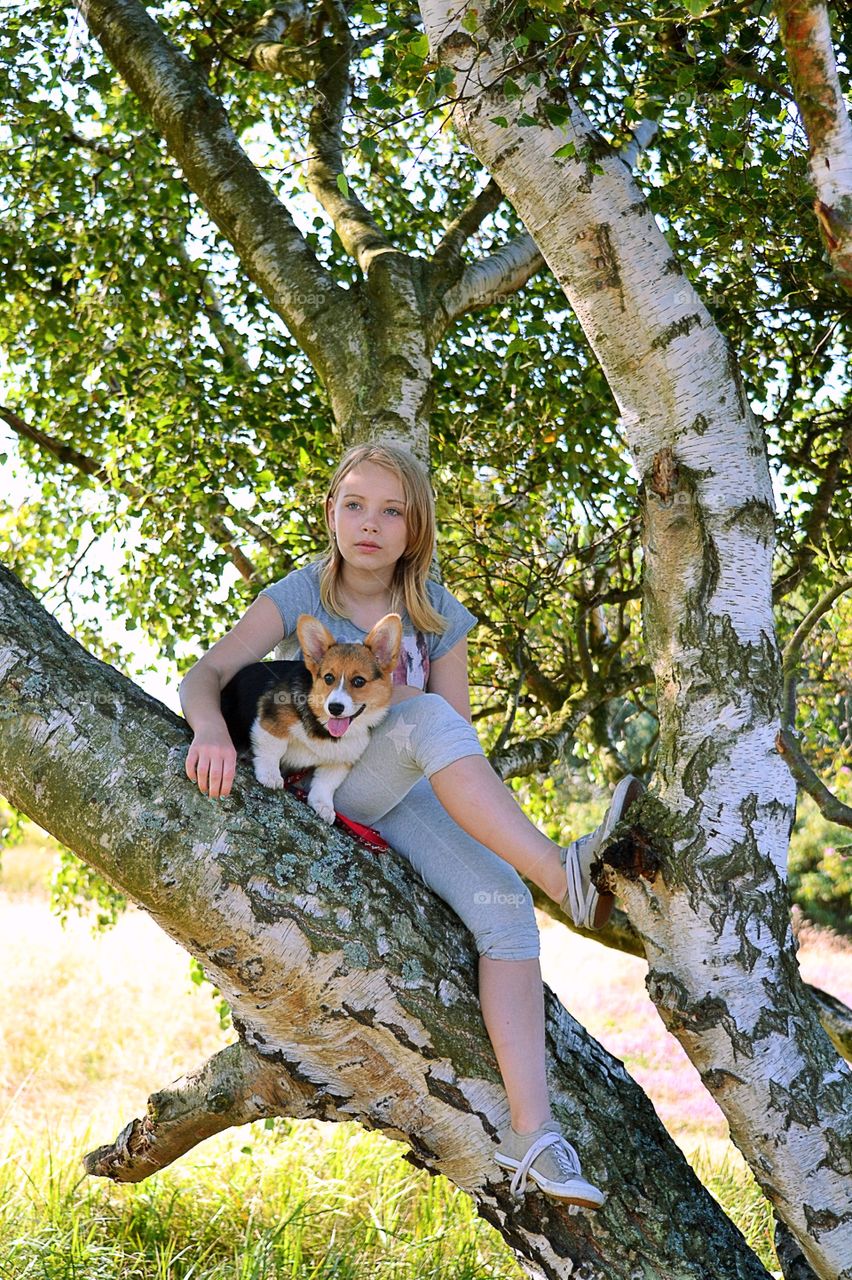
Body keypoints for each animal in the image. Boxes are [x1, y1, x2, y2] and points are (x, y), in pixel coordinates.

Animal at [220, 611, 404, 829]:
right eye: (328, 678)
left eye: (359, 681)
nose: (335, 708)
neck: (322, 725)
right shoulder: (272, 721)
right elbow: (273, 749)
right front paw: (270, 775)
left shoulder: (341, 760)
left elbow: (326, 784)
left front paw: (323, 806)